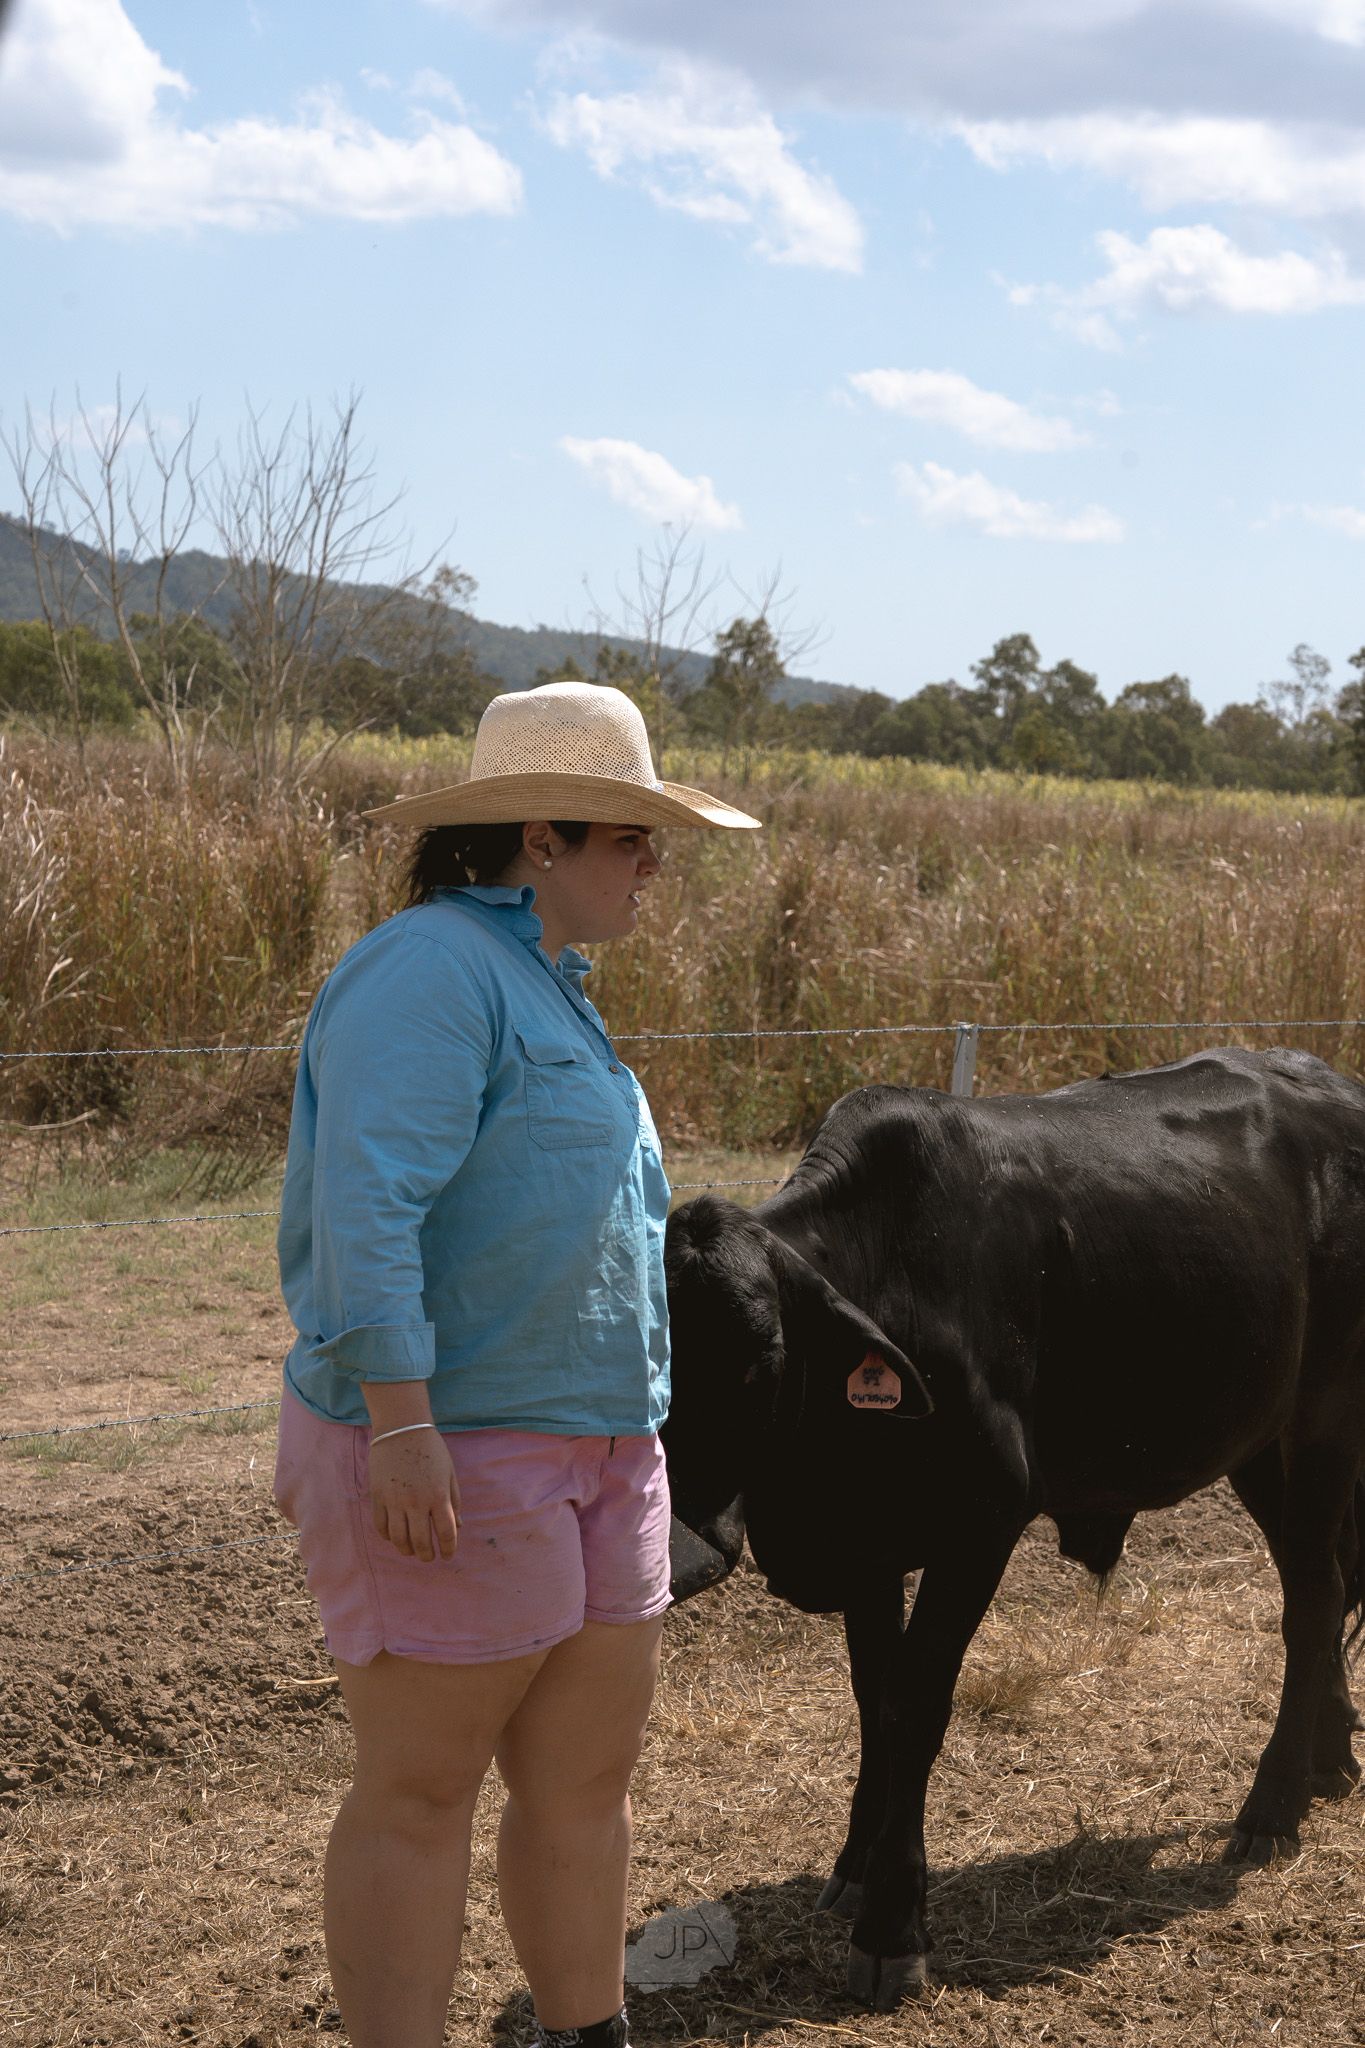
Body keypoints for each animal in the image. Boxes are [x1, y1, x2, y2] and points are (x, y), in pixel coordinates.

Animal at [662, 1048, 1365, 2010]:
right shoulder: (870, 1547)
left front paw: (891, 1929)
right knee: (1319, 1583)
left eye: (762, 1359)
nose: (688, 1548)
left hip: (1324, 1413)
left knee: (1311, 1598)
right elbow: (874, 1699)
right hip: (1254, 1438)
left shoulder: (979, 1526)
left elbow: (916, 1706)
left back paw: (1270, 1810)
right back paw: (1327, 1761)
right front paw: (854, 1864)